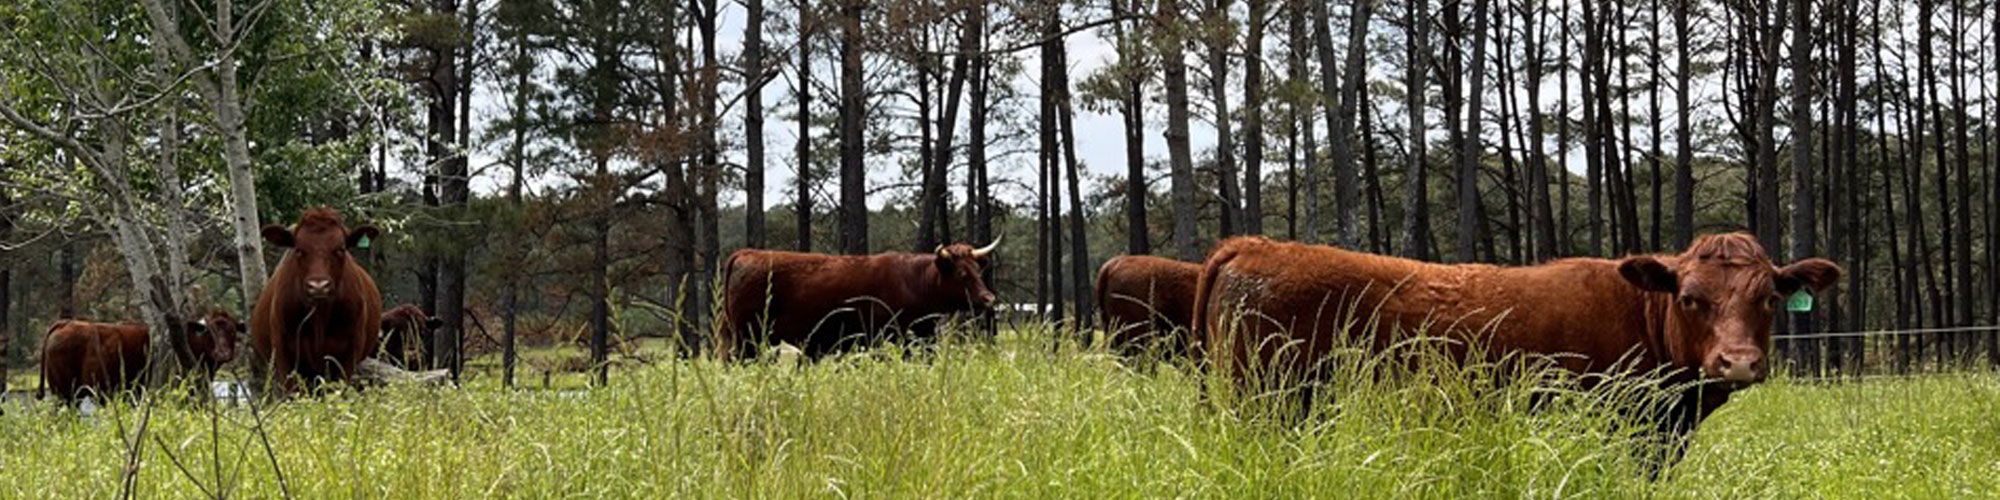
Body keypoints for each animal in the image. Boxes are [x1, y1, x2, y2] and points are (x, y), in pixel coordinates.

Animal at [716, 238, 1000, 360]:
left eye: (978, 270)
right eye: (962, 274)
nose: (989, 298)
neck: (914, 280)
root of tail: (746, 253)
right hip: (748, 340)